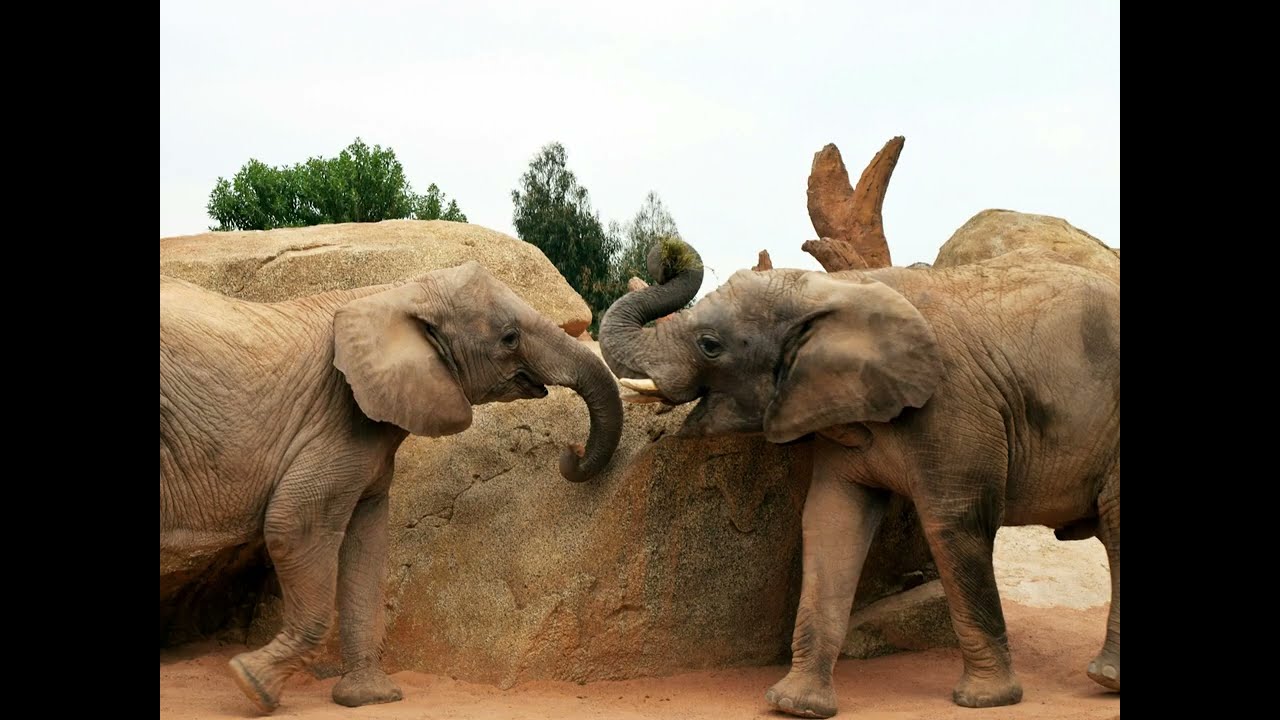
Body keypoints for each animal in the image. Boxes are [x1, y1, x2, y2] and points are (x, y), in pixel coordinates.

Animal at [159, 262, 623, 712]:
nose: (571, 451)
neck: (396, 292)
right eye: (510, 338)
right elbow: (294, 525)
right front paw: (253, 685)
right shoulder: (337, 415)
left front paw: (369, 698)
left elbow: (367, 543)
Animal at [598, 239, 1119, 718]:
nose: (664, 255)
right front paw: (795, 705)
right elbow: (832, 521)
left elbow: (954, 524)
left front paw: (986, 700)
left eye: (710, 345)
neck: (836, 288)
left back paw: (1105, 679)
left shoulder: (954, 406)